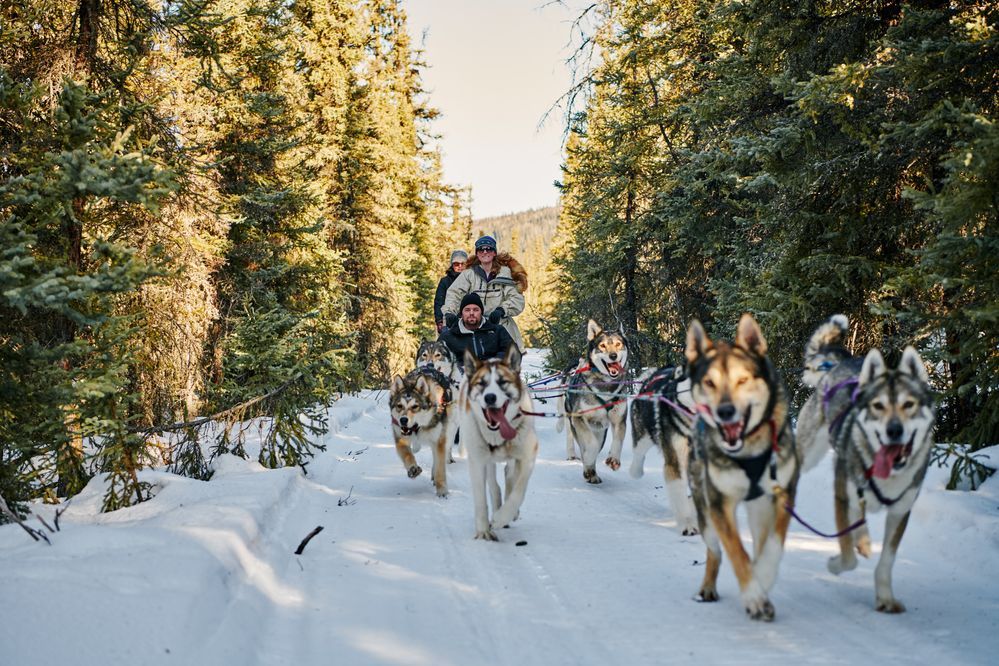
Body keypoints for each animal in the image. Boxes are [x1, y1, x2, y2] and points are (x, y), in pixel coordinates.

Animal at [390, 368, 454, 498]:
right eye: (399, 406)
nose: (403, 420)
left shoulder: (439, 441)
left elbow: (440, 468)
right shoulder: (400, 438)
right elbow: (407, 455)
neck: (418, 428)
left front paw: (442, 491)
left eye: (415, 406)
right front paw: (413, 469)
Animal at [458, 344, 540, 536]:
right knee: (494, 485)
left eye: (503, 382)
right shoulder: (477, 461)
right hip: (487, 459)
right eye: (481, 383)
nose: (490, 397)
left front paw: (504, 516)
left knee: (509, 476)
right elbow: (481, 498)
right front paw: (483, 532)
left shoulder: (528, 455)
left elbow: (519, 489)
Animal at [556, 318, 632, 482]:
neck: (606, 388)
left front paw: (613, 459)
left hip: (599, 429)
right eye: (602, 345)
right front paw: (589, 461)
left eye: (618, 344)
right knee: (573, 438)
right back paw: (574, 457)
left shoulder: (618, 420)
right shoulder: (579, 419)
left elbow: (618, 440)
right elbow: (591, 446)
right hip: (571, 419)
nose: (613, 356)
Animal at [684, 314, 800, 620]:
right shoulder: (719, 503)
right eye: (709, 382)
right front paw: (754, 597)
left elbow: (774, 543)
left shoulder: (783, 493)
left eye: (743, 379)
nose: (726, 412)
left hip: (759, 507)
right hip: (705, 508)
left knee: (760, 540)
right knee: (715, 550)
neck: (748, 451)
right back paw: (707, 588)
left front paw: (764, 577)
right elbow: (737, 552)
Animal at [796, 314, 936, 608]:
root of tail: (842, 361)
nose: (894, 430)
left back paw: (864, 540)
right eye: (878, 405)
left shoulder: (900, 511)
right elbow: (847, 556)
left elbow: (886, 561)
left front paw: (886, 599)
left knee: (859, 519)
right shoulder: (841, 495)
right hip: (810, 453)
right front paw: (834, 564)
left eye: (909, 404)